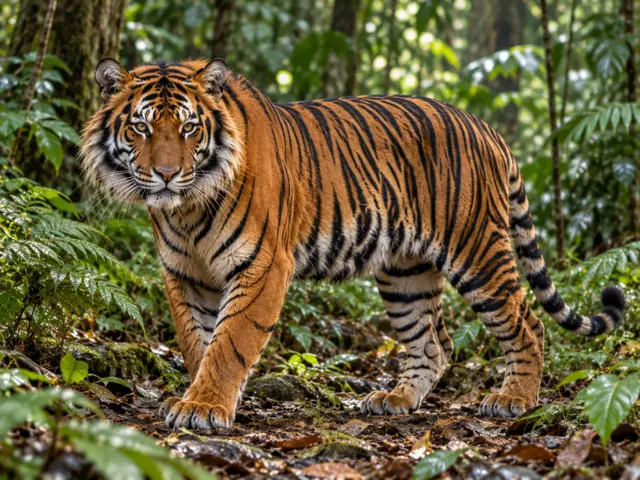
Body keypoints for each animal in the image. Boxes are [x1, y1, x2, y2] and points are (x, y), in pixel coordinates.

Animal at [81, 58, 626, 430]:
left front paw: (205, 406)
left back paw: (514, 399)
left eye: (189, 128)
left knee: (528, 324)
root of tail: (487, 128)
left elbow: (230, 342)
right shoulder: (184, 273)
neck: (187, 208)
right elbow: (197, 341)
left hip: (479, 254)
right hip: (405, 272)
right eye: (141, 126)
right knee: (436, 343)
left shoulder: (261, 266)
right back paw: (397, 401)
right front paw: (195, 397)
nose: (166, 174)